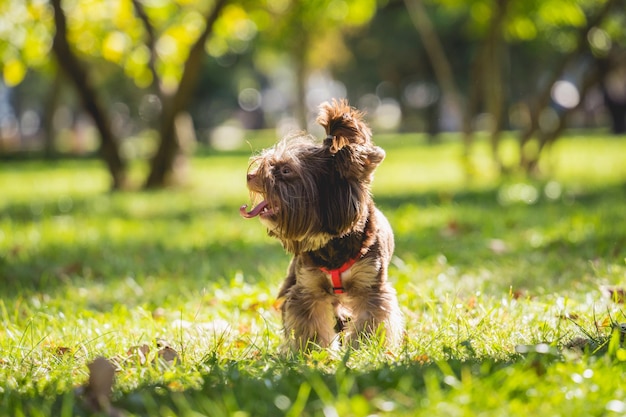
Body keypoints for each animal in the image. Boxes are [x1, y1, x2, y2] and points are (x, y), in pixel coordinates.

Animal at [239, 99, 400, 350]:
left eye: (286, 170)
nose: (250, 176)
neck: (332, 242)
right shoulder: (307, 286)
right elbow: (310, 322)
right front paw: (316, 351)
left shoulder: (371, 284)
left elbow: (371, 319)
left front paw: (364, 348)